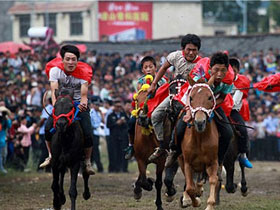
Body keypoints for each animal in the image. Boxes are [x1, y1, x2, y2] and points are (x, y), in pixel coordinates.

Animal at [178, 76, 220, 210]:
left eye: (210, 97)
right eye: (191, 98)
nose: (200, 122)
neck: (200, 138)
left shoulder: (213, 161)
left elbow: (213, 179)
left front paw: (210, 205)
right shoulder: (187, 162)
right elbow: (189, 187)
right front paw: (194, 201)